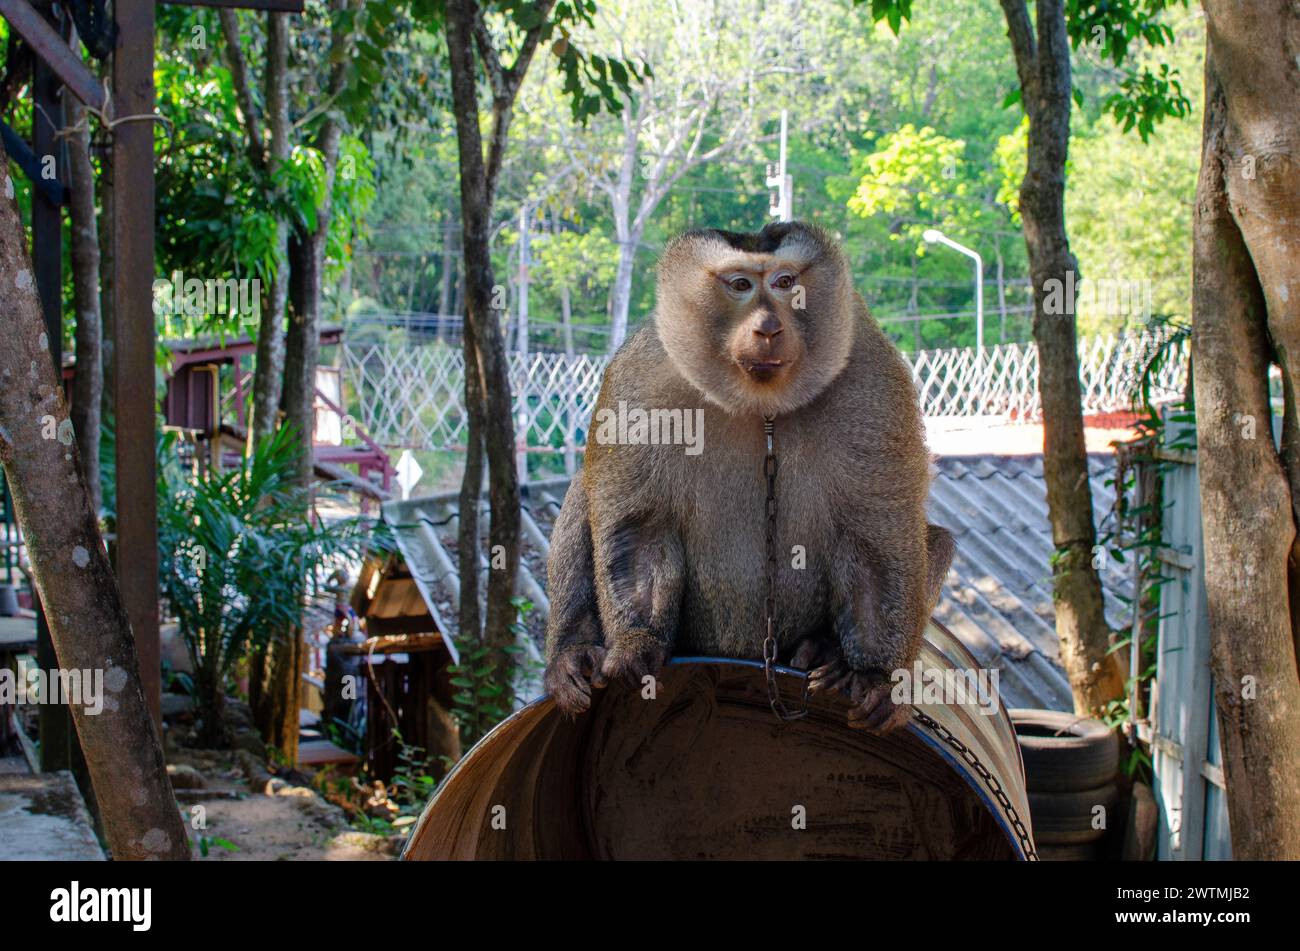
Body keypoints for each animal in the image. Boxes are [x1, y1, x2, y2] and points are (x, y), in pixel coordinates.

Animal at [540, 220, 956, 737]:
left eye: (784, 282)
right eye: (739, 284)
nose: (769, 327)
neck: (762, 407)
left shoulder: (872, 380)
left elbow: (879, 539)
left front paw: (874, 675)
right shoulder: (643, 378)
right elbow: (641, 527)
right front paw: (638, 642)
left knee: (934, 541)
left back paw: (824, 651)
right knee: (583, 490)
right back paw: (573, 654)